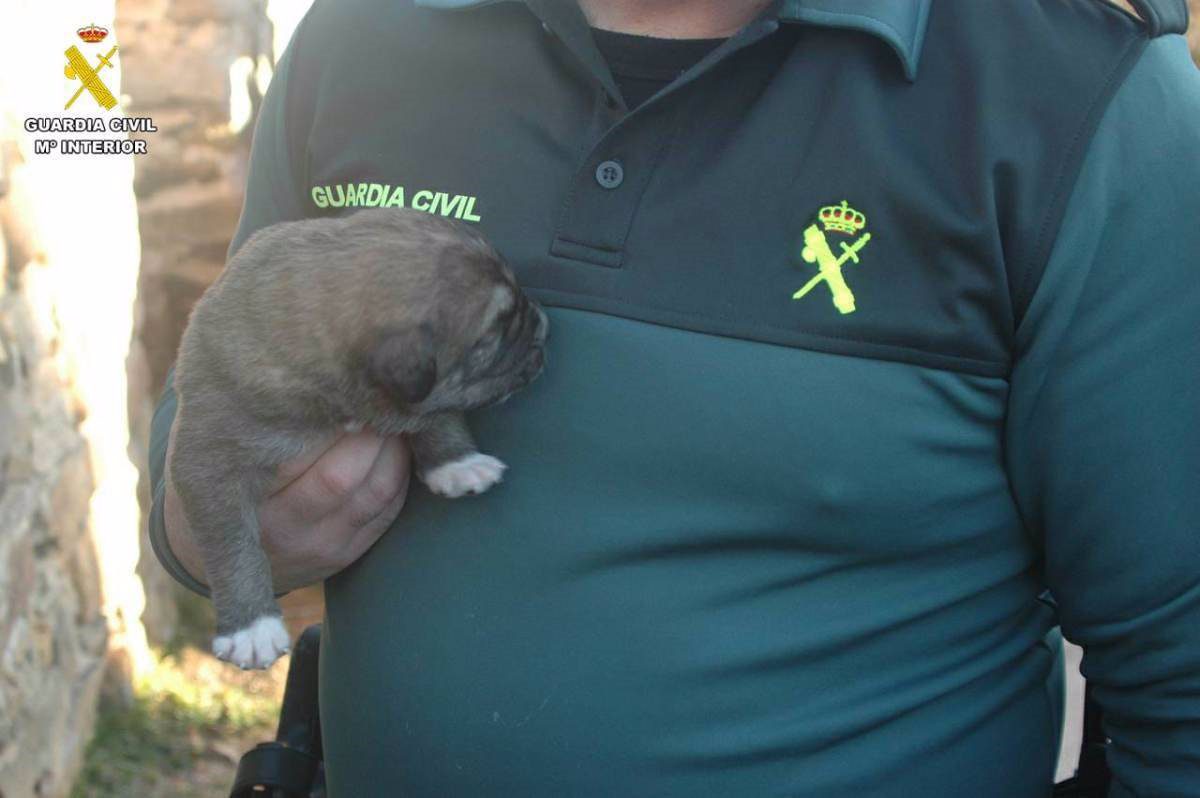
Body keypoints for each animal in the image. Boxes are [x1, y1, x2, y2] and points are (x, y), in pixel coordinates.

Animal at [169, 205, 549, 667]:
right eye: (494, 333)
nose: (543, 323)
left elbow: (431, 414)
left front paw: (458, 463)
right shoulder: (209, 462)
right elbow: (234, 543)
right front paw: (251, 627)